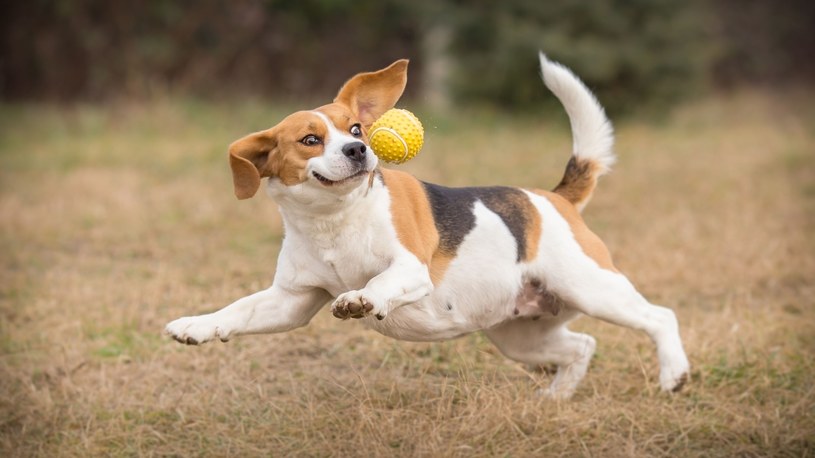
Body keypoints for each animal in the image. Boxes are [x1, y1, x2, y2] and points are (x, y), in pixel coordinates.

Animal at [164, 52, 688, 398]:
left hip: (593, 289)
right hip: (521, 336)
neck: (336, 219)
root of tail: (554, 197)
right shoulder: (291, 300)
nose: (358, 150)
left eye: (355, 129)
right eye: (310, 140)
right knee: (582, 345)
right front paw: (197, 326)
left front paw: (361, 299)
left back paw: (673, 374)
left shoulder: (411, 270)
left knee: (661, 317)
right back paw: (554, 400)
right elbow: (238, 310)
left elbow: (379, 283)